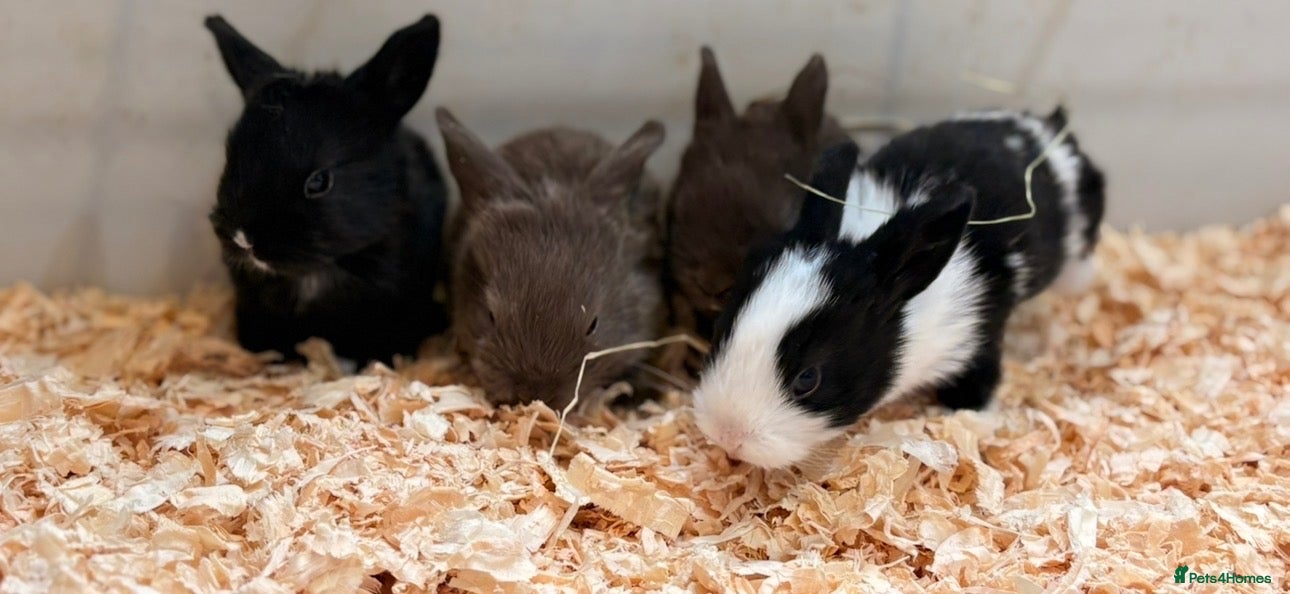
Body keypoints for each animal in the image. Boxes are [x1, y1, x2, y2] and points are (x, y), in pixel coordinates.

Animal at [692, 107, 1106, 469]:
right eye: (720, 330)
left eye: (808, 379)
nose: (727, 436)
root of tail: (1048, 127)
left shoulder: (976, 338)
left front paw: (969, 417)